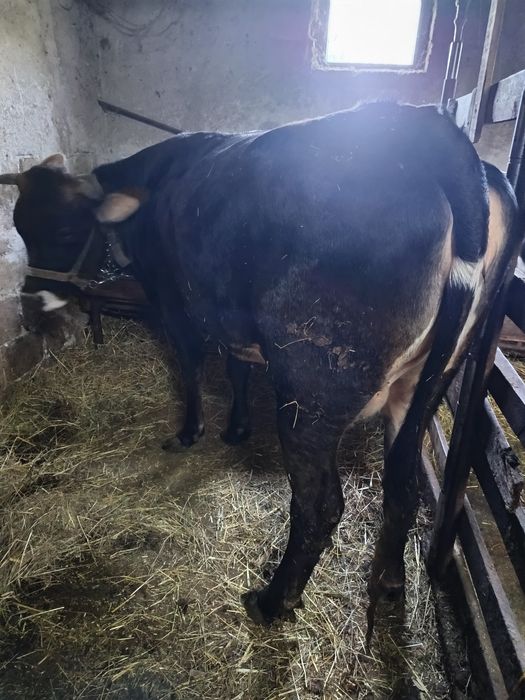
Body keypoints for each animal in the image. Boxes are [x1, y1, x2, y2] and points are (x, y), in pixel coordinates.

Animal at [0, 103, 521, 629]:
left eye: (66, 230)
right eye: (21, 227)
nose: (32, 303)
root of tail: (427, 130)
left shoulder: (173, 300)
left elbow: (191, 365)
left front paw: (191, 431)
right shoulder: (229, 313)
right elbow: (237, 369)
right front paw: (237, 427)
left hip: (310, 388)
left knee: (319, 505)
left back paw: (273, 601)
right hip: (427, 385)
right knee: (403, 482)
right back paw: (390, 583)